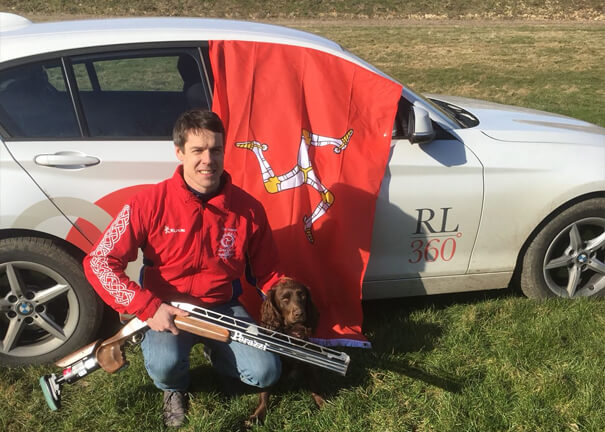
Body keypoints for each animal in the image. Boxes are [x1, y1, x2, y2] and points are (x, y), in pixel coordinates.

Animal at [245, 276, 324, 426]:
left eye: (303, 296)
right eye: (284, 299)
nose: (299, 313)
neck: (291, 334)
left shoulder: (309, 365)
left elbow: (315, 386)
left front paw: (323, 403)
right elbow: (264, 394)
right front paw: (258, 415)